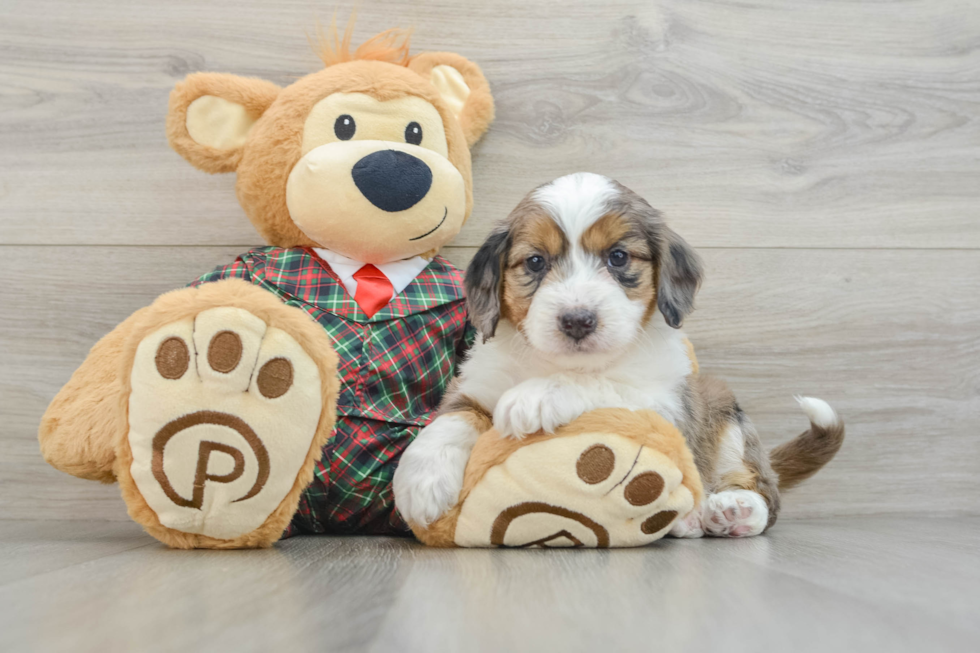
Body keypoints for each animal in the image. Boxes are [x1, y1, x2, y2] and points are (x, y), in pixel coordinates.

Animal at [394, 172, 848, 536]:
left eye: (617, 257)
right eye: (535, 262)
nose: (577, 321)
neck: (552, 362)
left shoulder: (661, 404)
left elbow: (599, 382)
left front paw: (538, 395)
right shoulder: (478, 383)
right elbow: (452, 419)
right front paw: (421, 480)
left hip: (725, 411)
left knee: (762, 490)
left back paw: (734, 511)